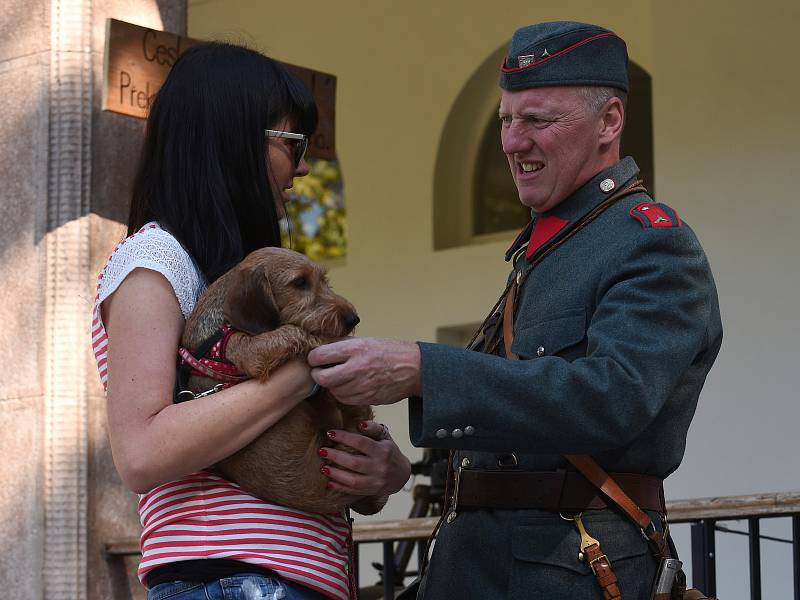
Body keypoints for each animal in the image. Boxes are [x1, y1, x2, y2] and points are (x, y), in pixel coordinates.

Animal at [183, 248, 390, 516]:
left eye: (323, 279)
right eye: (300, 282)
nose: (352, 319)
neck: (220, 327)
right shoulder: (248, 350)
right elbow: (294, 331)